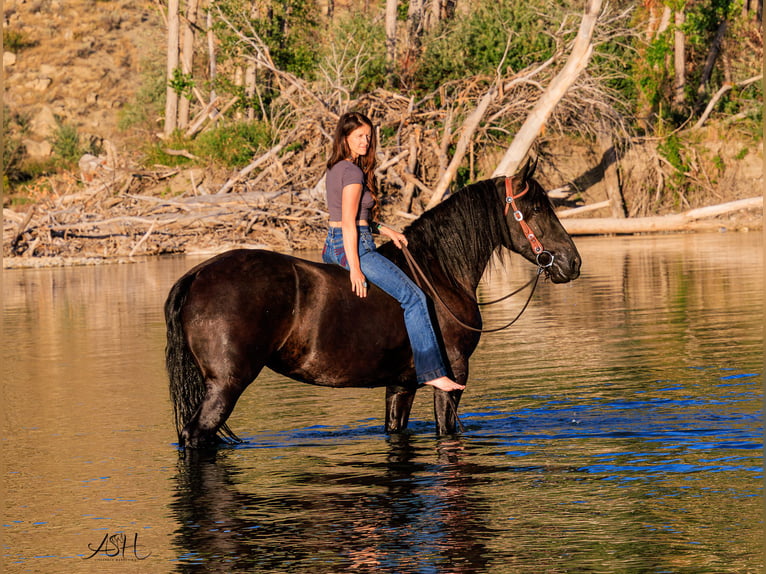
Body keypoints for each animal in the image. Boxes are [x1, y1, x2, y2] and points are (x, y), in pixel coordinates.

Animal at [165, 159, 581, 449]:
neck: (438, 273)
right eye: (537, 210)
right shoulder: (452, 378)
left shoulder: (401, 385)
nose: (572, 262)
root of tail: (197, 274)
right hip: (226, 385)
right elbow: (446, 431)